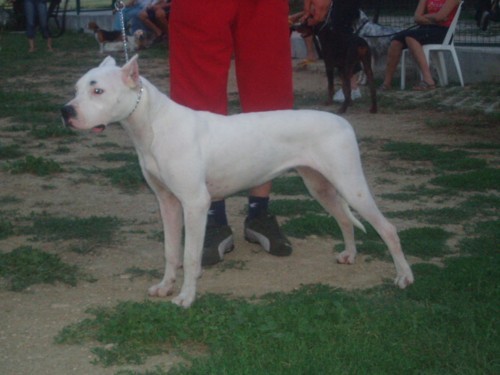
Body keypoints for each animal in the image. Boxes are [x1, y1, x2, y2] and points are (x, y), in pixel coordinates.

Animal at [61, 56, 414, 308]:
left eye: (98, 91)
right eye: (76, 89)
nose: (65, 111)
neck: (152, 125)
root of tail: (343, 121)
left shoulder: (195, 203)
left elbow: (189, 255)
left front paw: (186, 297)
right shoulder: (168, 203)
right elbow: (171, 251)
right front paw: (165, 286)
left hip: (351, 184)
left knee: (387, 228)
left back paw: (404, 277)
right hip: (320, 187)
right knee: (344, 219)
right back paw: (350, 255)